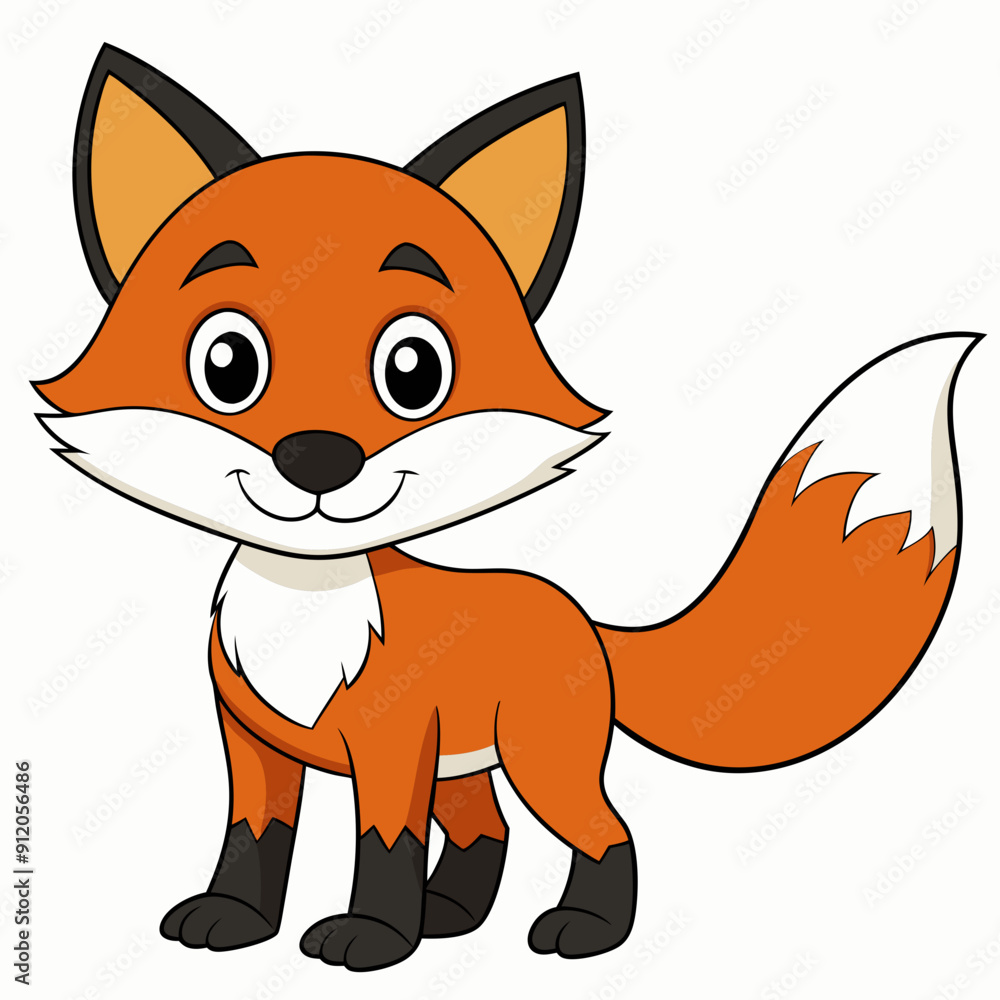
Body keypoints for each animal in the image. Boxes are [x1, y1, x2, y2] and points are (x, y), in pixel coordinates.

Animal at [35, 44, 979, 972]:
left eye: (413, 371)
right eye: (227, 364)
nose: (317, 457)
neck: (306, 608)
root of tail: (582, 619)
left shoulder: (391, 747)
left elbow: (382, 845)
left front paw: (376, 939)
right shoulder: (254, 741)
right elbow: (253, 839)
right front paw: (235, 918)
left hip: (538, 759)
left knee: (604, 830)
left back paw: (583, 932)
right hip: (467, 767)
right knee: (485, 831)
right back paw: (452, 915)